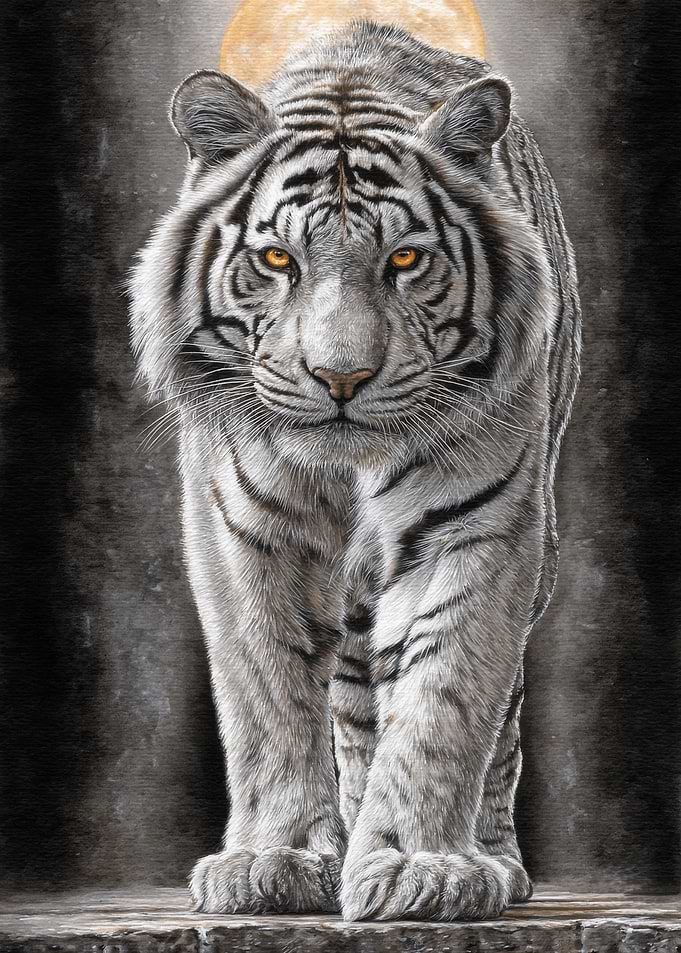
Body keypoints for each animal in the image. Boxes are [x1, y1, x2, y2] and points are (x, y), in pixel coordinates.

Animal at [129, 20, 581, 922]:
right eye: (276, 259)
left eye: (404, 261)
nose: (340, 378)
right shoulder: (242, 529)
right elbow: (267, 694)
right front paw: (271, 858)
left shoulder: (474, 522)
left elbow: (443, 695)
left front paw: (421, 866)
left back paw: (491, 858)